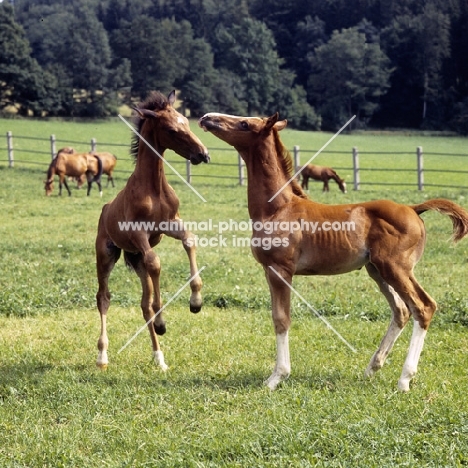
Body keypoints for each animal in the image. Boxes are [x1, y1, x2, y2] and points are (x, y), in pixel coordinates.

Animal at [94, 89, 209, 372]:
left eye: (186, 121)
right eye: (171, 129)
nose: (203, 154)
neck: (153, 188)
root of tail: (105, 209)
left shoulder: (169, 225)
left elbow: (190, 241)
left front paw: (196, 302)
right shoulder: (139, 234)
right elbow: (156, 263)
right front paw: (162, 319)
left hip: (135, 259)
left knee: (143, 304)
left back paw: (160, 358)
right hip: (106, 255)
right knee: (104, 297)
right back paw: (102, 356)